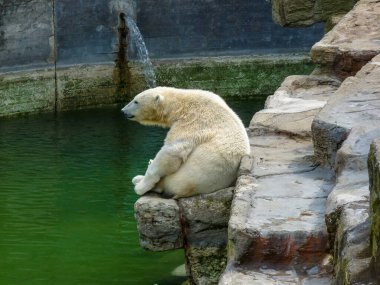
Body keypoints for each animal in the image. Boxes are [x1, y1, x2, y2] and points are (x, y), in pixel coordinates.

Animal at [121, 86, 249, 197]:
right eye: (134, 99)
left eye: (136, 101)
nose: (123, 111)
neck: (181, 104)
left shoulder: (193, 121)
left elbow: (171, 152)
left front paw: (140, 187)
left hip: (181, 180)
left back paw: (140, 179)